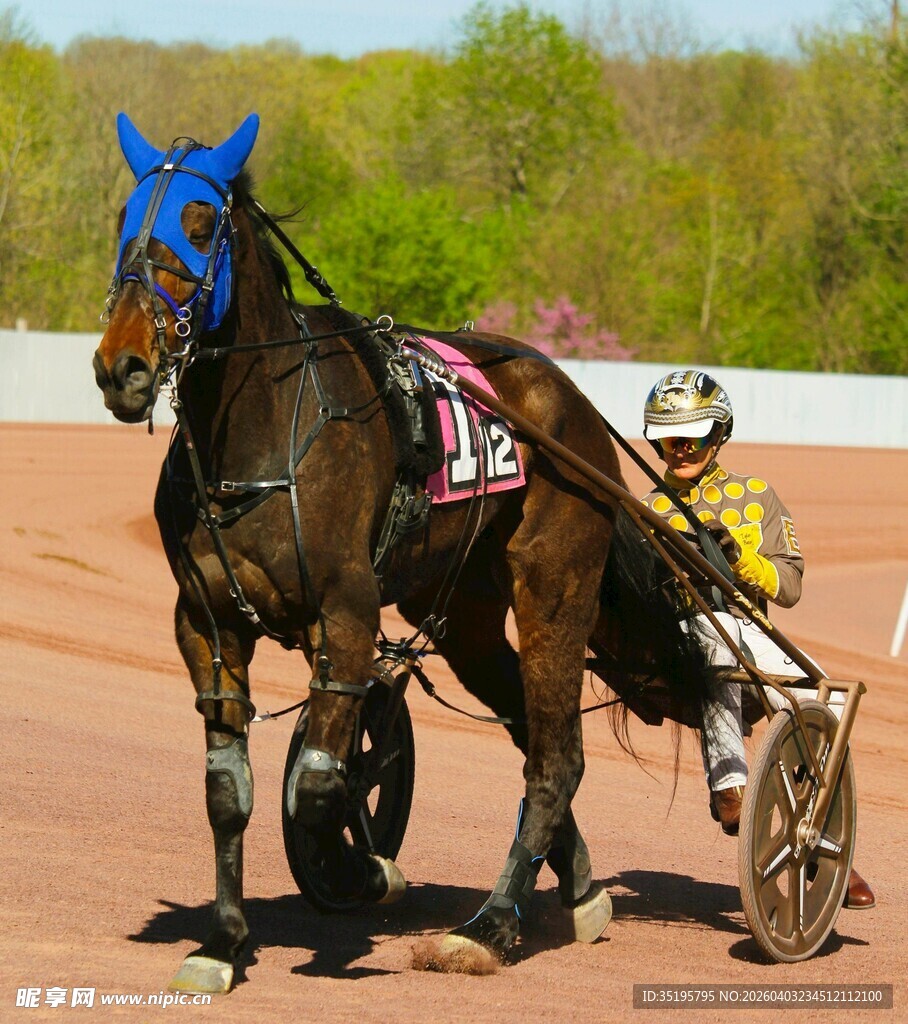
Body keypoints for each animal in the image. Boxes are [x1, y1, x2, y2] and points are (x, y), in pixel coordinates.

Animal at [93, 113, 712, 992]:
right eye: (124, 221)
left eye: (202, 223)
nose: (124, 365)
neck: (258, 440)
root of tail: (571, 399)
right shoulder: (206, 627)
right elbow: (228, 792)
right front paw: (223, 942)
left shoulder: (347, 612)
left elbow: (320, 783)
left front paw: (364, 868)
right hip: (464, 616)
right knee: (531, 734)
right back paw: (582, 887)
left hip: (553, 586)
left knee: (555, 757)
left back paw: (488, 925)